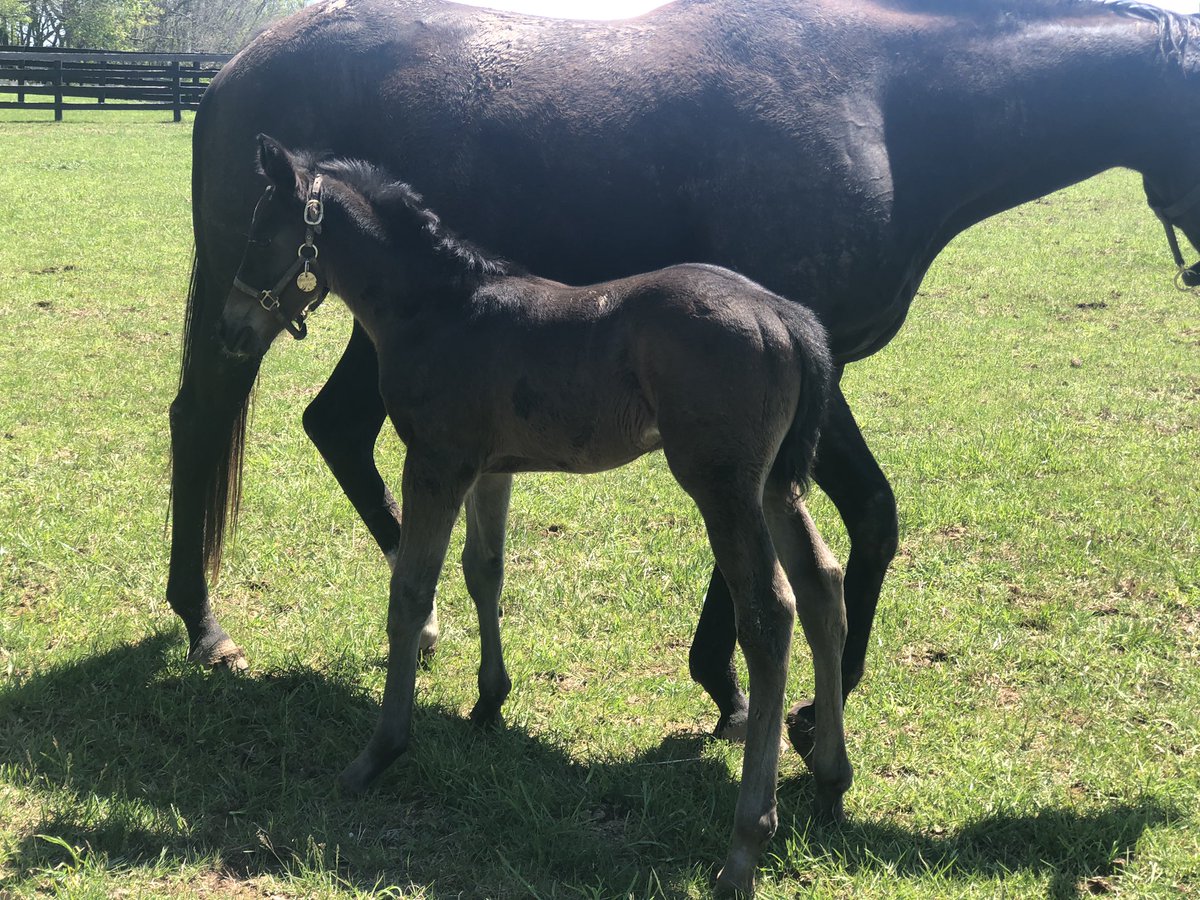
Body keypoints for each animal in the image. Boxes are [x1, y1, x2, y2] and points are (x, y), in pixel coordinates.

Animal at [170, 0, 1200, 761]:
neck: (881, 101)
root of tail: (236, 68)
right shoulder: (809, 365)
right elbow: (868, 516)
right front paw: (790, 706)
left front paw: (747, 690)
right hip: (250, 311)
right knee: (202, 419)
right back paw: (206, 623)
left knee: (336, 427)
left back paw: (413, 634)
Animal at [222, 133, 845, 896]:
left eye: (258, 234)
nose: (231, 328)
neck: (440, 309)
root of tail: (785, 315)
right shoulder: (491, 469)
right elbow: (483, 571)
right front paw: (489, 702)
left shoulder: (435, 462)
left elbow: (411, 592)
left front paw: (378, 753)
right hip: (775, 486)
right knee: (821, 584)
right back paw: (832, 781)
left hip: (722, 486)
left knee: (768, 613)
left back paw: (743, 847)